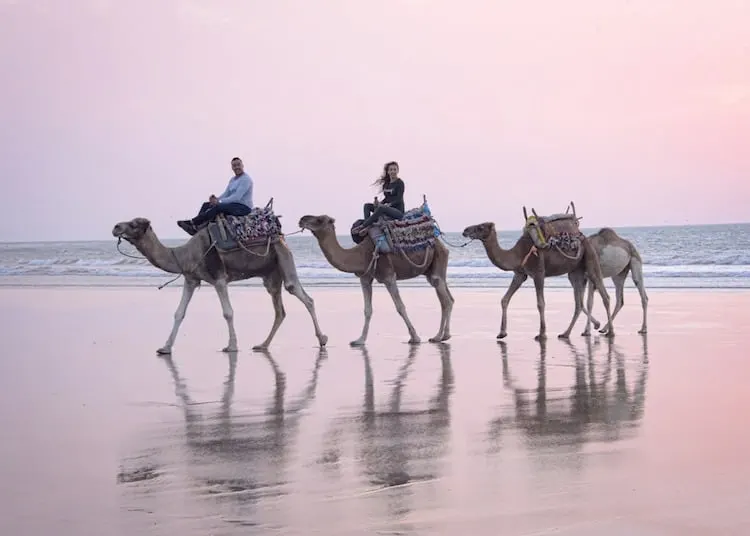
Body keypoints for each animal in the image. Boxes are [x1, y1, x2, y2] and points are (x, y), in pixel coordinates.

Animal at [110, 216, 328, 354]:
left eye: (134, 224)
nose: (116, 227)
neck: (184, 254)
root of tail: (282, 236)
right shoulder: (191, 278)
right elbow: (179, 313)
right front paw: (165, 348)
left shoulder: (219, 278)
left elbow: (228, 312)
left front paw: (231, 346)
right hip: (271, 274)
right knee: (279, 310)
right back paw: (262, 345)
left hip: (283, 256)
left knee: (301, 294)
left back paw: (322, 339)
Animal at [298, 211, 452, 346]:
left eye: (319, 220)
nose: (302, 219)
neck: (361, 254)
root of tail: (439, 241)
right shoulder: (365, 278)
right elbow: (367, 310)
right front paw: (359, 340)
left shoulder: (388, 276)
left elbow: (400, 307)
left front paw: (415, 337)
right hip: (430, 269)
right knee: (446, 297)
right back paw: (441, 336)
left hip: (438, 258)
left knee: (445, 299)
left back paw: (440, 336)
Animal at [464, 208, 616, 340]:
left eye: (480, 227)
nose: (465, 230)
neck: (517, 253)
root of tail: (582, 236)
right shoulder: (520, 274)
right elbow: (505, 299)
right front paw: (502, 332)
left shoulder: (538, 273)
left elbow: (540, 303)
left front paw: (542, 334)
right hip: (575, 272)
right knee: (579, 303)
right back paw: (565, 333)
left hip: (591, 259)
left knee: (604, 295)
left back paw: (609, 332)